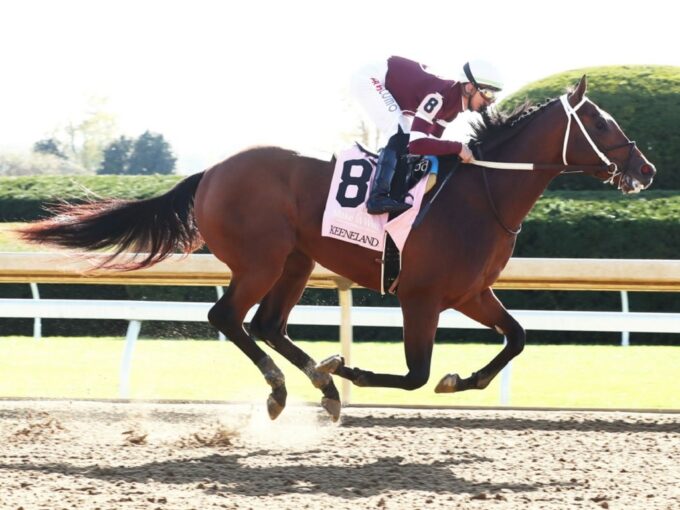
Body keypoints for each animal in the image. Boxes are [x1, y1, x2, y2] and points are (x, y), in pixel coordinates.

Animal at [18, 74, 656, 418]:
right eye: (603, 125)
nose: (645, 169)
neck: (482, 193)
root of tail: (212, 171)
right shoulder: (420, 296)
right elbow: (415, 375)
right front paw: (349, 367)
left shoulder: (471, 293)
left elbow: (517, 338)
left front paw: (460, 381)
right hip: (261, 259)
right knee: (228, 317)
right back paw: (287, 388)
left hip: (297, 260)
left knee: (268, 323)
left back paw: (319, 388)